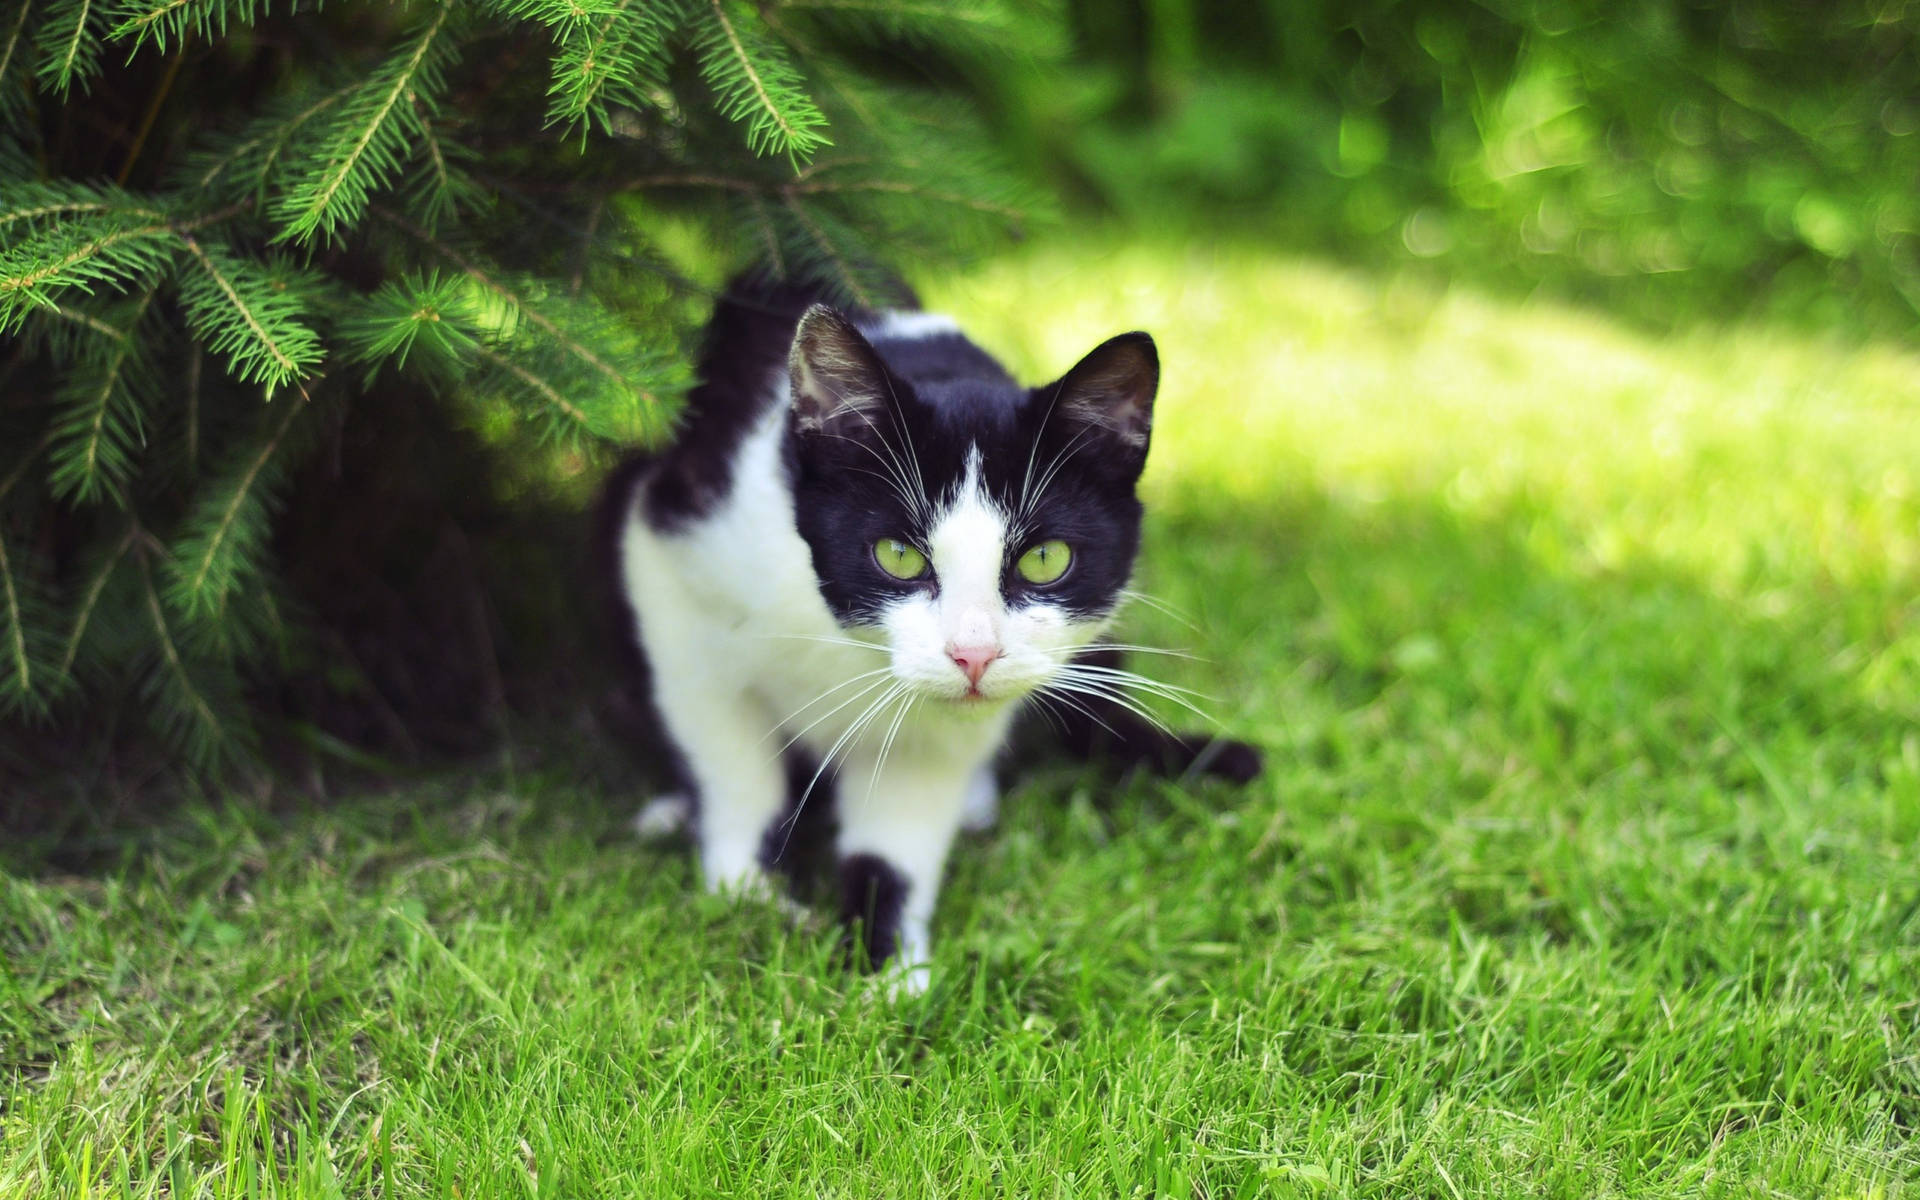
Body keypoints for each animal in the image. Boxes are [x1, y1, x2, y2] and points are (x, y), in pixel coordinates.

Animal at [599, 274, 1259, 990]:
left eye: (1045, 559)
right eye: (897, 555)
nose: (974, 654)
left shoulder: (935, 733)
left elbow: (899, 826)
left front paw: (885, 967)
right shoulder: (675, 557)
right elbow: (735, 761)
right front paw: (751, 894)